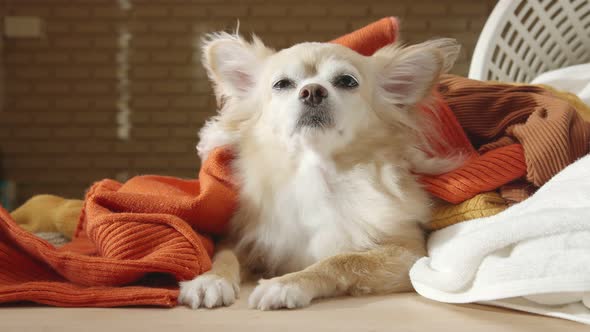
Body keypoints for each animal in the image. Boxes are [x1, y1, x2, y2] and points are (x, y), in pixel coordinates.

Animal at [178, 32, 464, 310]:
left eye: (347, 81)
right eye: (282, 84)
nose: (312, 91)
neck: (315, 172)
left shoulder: (410, 255)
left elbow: (341, 259)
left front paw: (286, 284)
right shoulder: (243, 239)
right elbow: (224, 255)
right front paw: (210, 280)